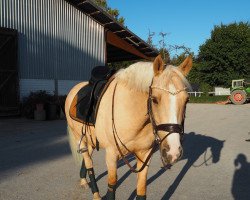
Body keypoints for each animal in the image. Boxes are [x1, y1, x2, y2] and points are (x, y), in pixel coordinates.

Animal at [65, 54, 192, 198]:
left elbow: (141, 190)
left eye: (187, 100)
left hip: (89, 138)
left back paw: (83, 180)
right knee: (88, 161)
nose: (173, 152)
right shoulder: (111, 155)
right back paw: (96, 194)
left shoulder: (144, 155)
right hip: (78, 137)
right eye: (154, 99)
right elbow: (112, 187)